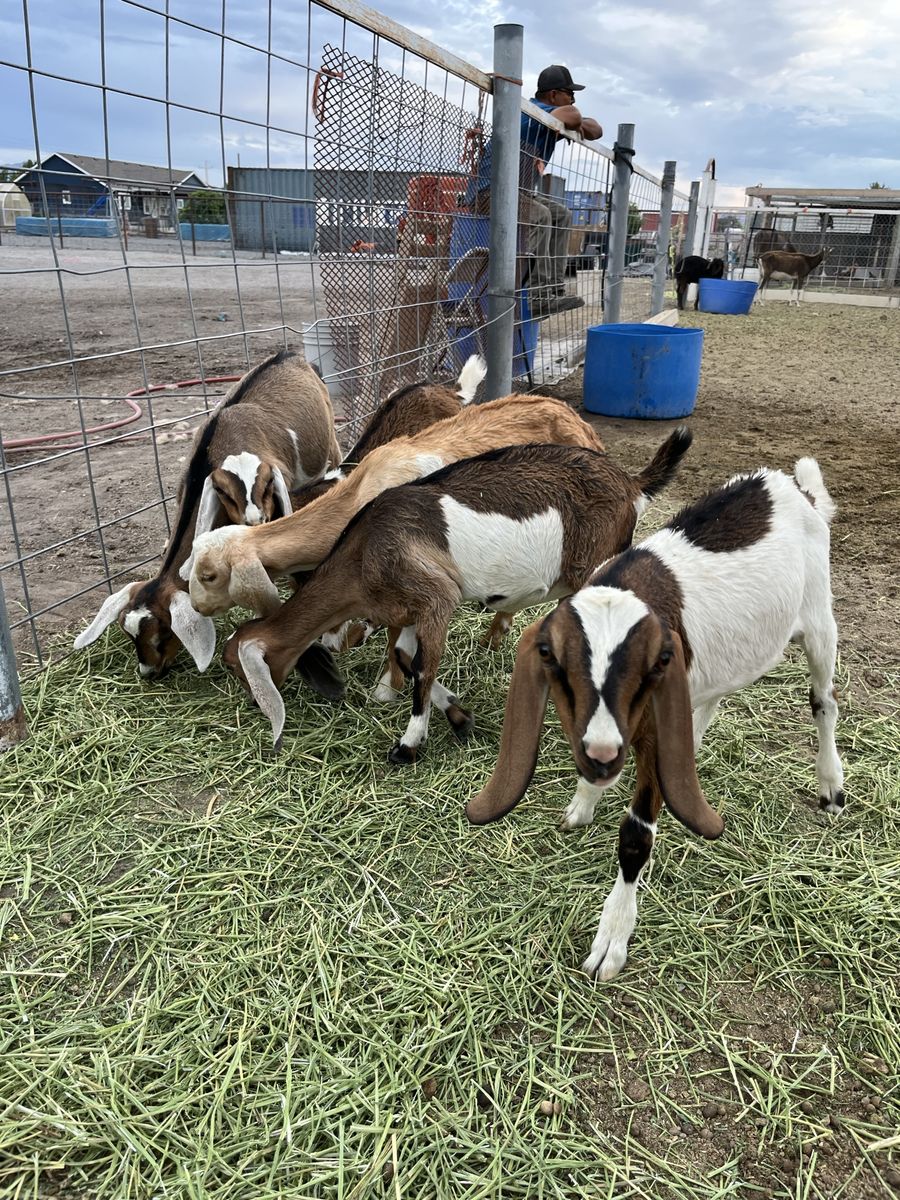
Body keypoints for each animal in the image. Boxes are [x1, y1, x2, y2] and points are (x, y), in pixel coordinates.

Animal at [221, 432, 692, 761]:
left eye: (241, 670)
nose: (253, 703)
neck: (362, 553)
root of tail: (631, 483)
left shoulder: (436, 596)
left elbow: (422, 670)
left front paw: (408, 746)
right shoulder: (408, 609)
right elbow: (408, 660)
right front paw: (459, 717)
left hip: (598, 569)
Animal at [466, 458, 844, 980]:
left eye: (649, 665)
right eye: (555, 662)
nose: (603, 750)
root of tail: (792, 486)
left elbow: (635, 835)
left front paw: (612, 939)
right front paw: (583, 804)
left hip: (819, 617)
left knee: (823, 701)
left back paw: (831, 787)